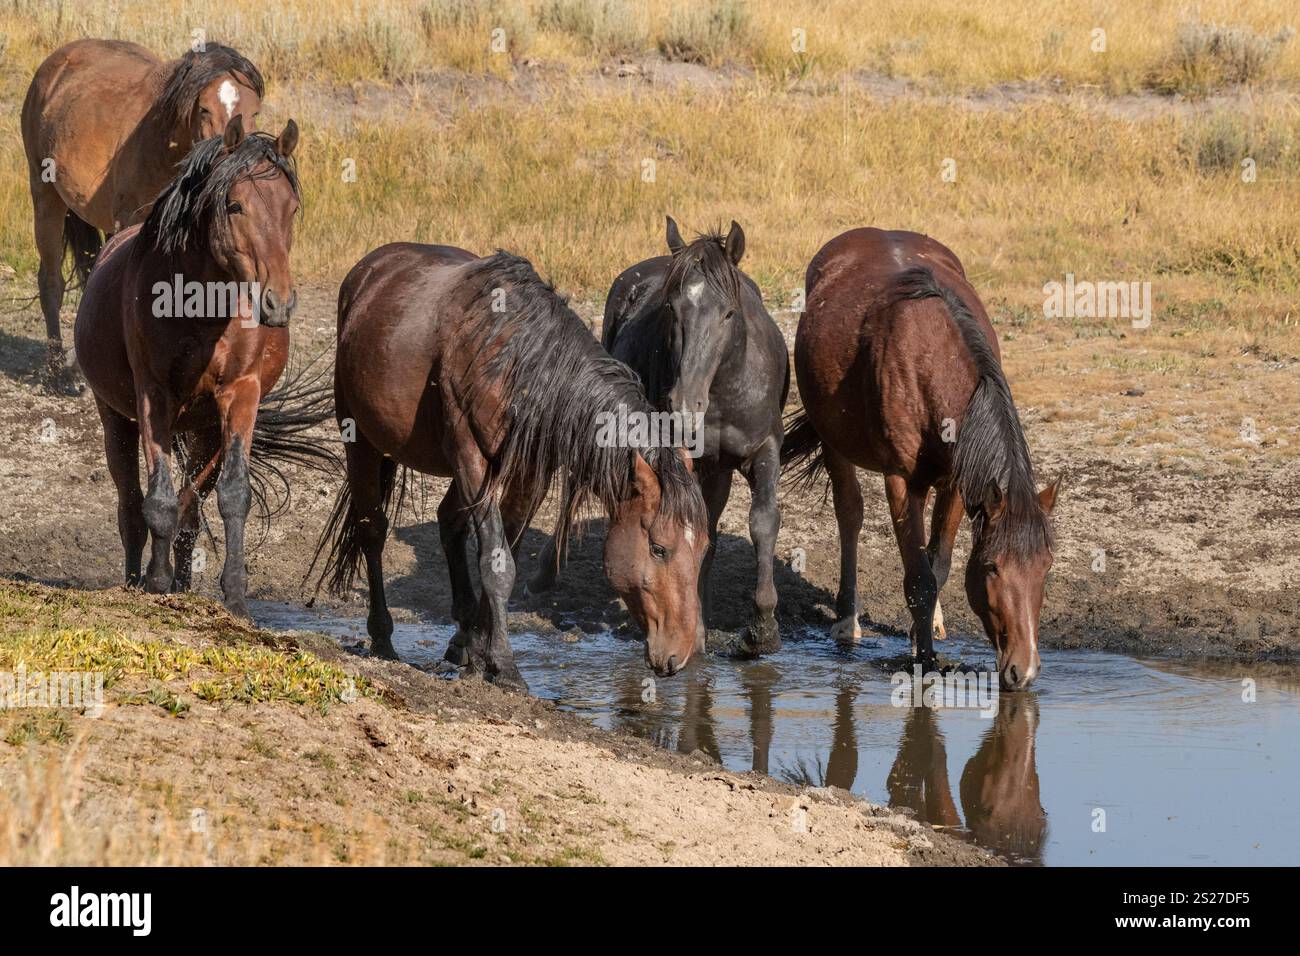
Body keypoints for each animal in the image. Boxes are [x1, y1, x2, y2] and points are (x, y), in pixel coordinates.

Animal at [23, 39, 264, 390]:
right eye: (204, 109)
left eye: (255, 111)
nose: (231, 166)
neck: (163, 141)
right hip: (46, 198)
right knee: (51, 281)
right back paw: (58, 373)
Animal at [74, 117, 323, 618]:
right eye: (235, 205)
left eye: (291, 208)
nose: (279, 302)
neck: (202, 311)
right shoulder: (154, 396)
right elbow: (158, 502)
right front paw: (156, 584)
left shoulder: (241, 394)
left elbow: (232, 496)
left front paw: (235, 597)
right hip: (116, 418)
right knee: (131, 505)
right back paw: (136, 581)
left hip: (207, 431)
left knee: (191, 508)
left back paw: (185, 584)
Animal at [311, 244, 710, 694]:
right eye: (659, 548)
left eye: (703, 548)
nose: (680, 654)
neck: (517, 362)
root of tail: (369, 270)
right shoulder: (470, 456)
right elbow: (495, 564)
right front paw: (504, 665)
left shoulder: (530, 472)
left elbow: (507, 557)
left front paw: (479, 652)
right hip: (360, 438)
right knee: (372, 530)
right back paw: (383, 639)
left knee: (449, 523)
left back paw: (463, 640)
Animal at [535, 218, 788, 654]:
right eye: (671, 308)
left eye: (729, 313)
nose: (685, 403)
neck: (724, 389)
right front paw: (698, 628)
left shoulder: (764, 450)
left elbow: (761, 521)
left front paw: (762, 628)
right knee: (574, 482)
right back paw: (545, 571)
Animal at [784, 228, 1060, 691]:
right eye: (992, 567)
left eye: (1046, 567)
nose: (1024, 669)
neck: (932, 359)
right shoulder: (900, 480)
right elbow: (918, 579)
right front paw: (925, 661)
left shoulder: (957, 482)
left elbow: (939, 566)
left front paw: (921, 633)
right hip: (834, 441)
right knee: (849, 514)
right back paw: (846, 621)